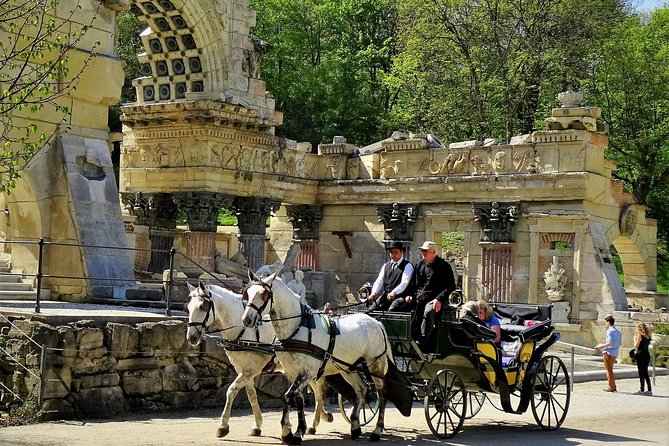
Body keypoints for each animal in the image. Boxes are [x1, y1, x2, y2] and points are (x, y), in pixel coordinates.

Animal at [184, 282, 332, 440]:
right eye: (188, 307)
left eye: (203, 306)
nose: (191, 337)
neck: (243, 330)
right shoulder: (243, 370)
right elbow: (252, 396)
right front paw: (257, 425)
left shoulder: (251, 370)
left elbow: (231, 390)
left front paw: (223, 426)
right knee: (316, 392)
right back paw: (319, 419)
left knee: (319, 391)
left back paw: (315, 422)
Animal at [241, 272, 392, 442]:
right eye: (247, 293)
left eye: (263, 294)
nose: (246, 319)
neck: (297, 327)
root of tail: (377, 323)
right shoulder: (293, 373)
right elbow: (297, 399)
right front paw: (295, 430)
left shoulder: (307, 372)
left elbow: (288, 396)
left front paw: (290, 431)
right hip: (349, 368)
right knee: (361, 389)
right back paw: (355, 426)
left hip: (375, 365)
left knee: (382, 393)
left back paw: (377, 430)